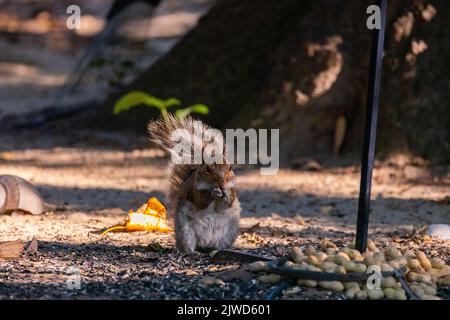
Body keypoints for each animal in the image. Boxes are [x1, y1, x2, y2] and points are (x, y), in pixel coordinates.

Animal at [147, 115, 239, 252]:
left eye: (230, 168)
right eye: (207, 169)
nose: (221, 183)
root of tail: (205, 244)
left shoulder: (232, 188)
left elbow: (228, 203)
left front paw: (224, 193)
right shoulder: (194, 190)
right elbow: (201, 202)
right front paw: (213, 192)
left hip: (230, 232)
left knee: (219, 245)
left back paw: (217, 250)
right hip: (186, 231)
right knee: (187, 244)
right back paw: (192, 252)